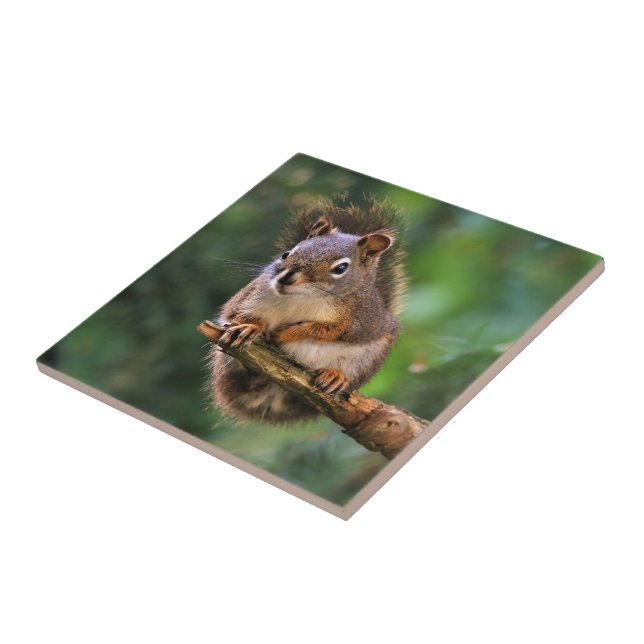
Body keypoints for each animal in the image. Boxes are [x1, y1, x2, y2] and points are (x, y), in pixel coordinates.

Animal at [209, 198, 407, 423]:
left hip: (368, 359)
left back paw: (335, 376)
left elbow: (326, 331)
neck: (303, 298)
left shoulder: (358, 320)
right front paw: (249, 327)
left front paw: (287, 333)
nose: (286, 277)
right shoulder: (251, 296)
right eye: (286, 254)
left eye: (340, 268)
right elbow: (235, 313)